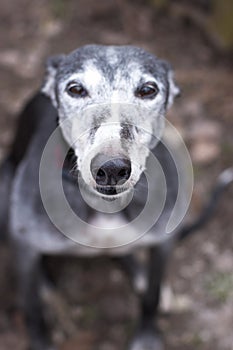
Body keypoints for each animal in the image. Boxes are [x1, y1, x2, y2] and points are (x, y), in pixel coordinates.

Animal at [0, 44, 231, 350]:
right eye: (75, 89)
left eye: (147, 90)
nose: (111, 169)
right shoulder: (25, 246)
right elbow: (33, 311)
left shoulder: (164, 243)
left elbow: (151, 296)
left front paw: (147, 337)